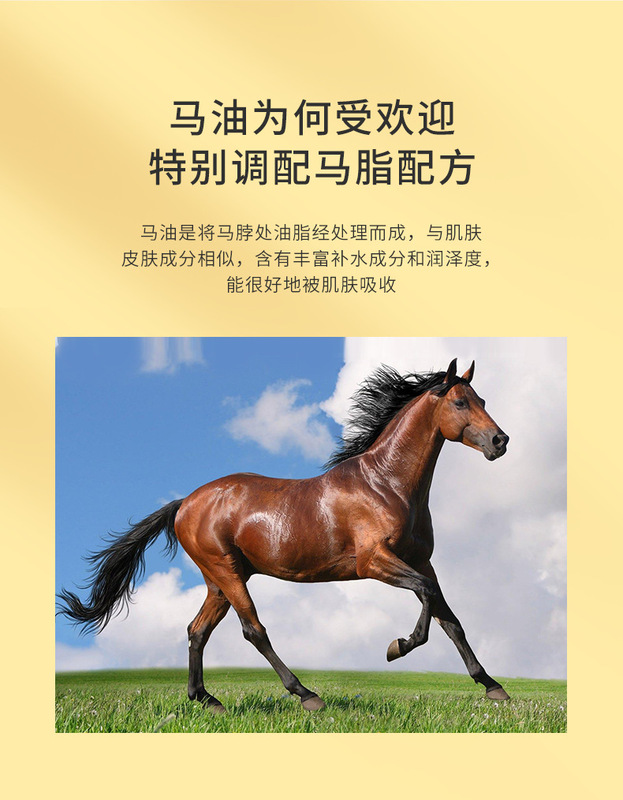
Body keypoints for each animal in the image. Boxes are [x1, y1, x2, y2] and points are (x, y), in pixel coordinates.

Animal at [58, 358, 510, 712]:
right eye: (460, 401)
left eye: (483, 401)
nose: (500, 440)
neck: (386, 484)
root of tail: (185, 502)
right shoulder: (375, 562)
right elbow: (427, 600)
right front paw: (397, 646)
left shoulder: (422, 561)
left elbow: (450, 618)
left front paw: (493, 687)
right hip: (227, 572)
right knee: (253, 629)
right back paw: (306, 695)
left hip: (218, 580)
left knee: (197, 630)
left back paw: (206, 699)